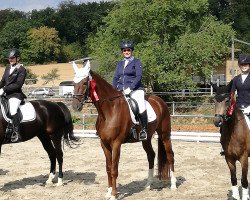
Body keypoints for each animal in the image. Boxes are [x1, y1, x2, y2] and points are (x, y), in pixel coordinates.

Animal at [71, 61, 175, 200]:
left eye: (84, 83)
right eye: (73, 82)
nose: (75, 106)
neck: (109, 110)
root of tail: (160, 101)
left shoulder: (116, 143)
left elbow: (114, 169)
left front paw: (114, 194)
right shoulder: (104, 143)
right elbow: (108, 168)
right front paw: (109, 192)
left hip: (165, 135)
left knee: (170, 156)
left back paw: (173, 185)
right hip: (146, 138)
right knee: (151, 156)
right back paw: (148, 185)